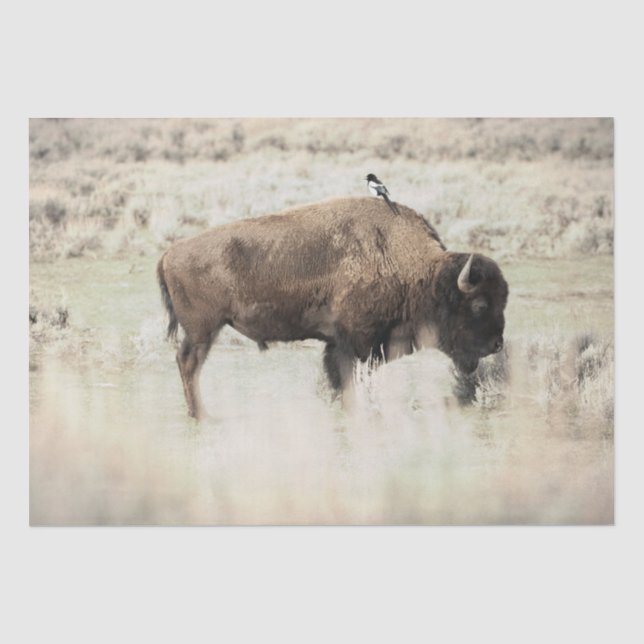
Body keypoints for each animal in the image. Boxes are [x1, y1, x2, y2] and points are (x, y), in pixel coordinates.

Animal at [157, 196, 508, 419]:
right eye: (479, 305)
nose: (497, 344)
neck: (420, 273)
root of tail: (170, 253)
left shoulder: (340, 344)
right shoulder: (356, 343)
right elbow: (349, 379)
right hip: (203, 330)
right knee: (188, 363)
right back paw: (201, 414)